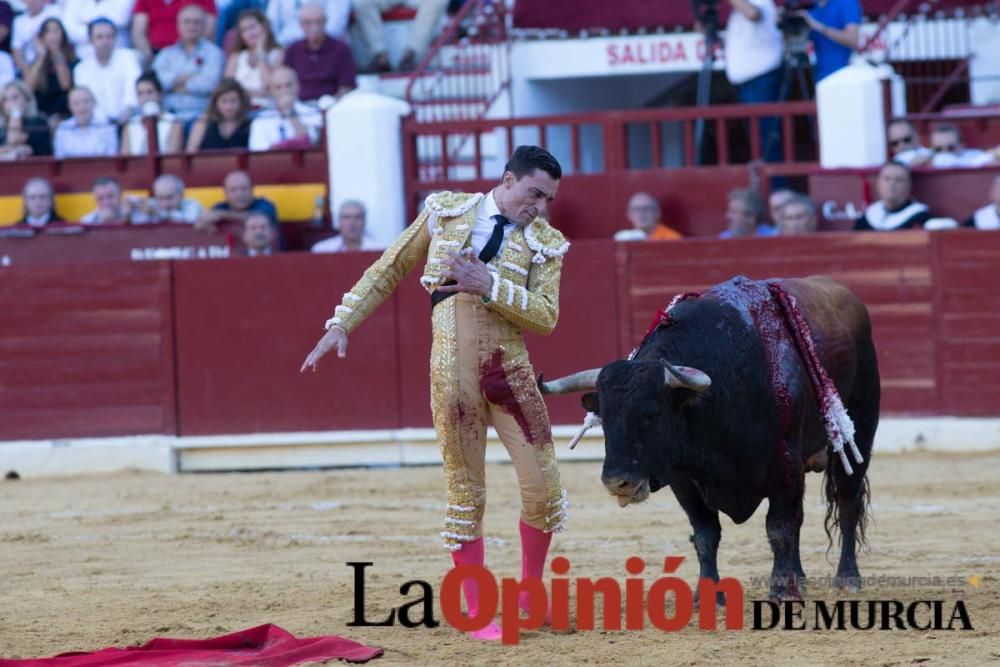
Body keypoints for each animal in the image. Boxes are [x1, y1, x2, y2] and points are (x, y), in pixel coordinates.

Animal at [544, 276, 880, 600]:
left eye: (651, 414)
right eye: (603, 418)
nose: (617, 482)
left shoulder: (785, 464)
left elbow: (780, 527)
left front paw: (782, 590)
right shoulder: (683, 478)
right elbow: (706, 534)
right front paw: (707, 594)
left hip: (861, 431)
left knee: (847, 501)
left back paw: (847, 578)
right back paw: (799, 577)